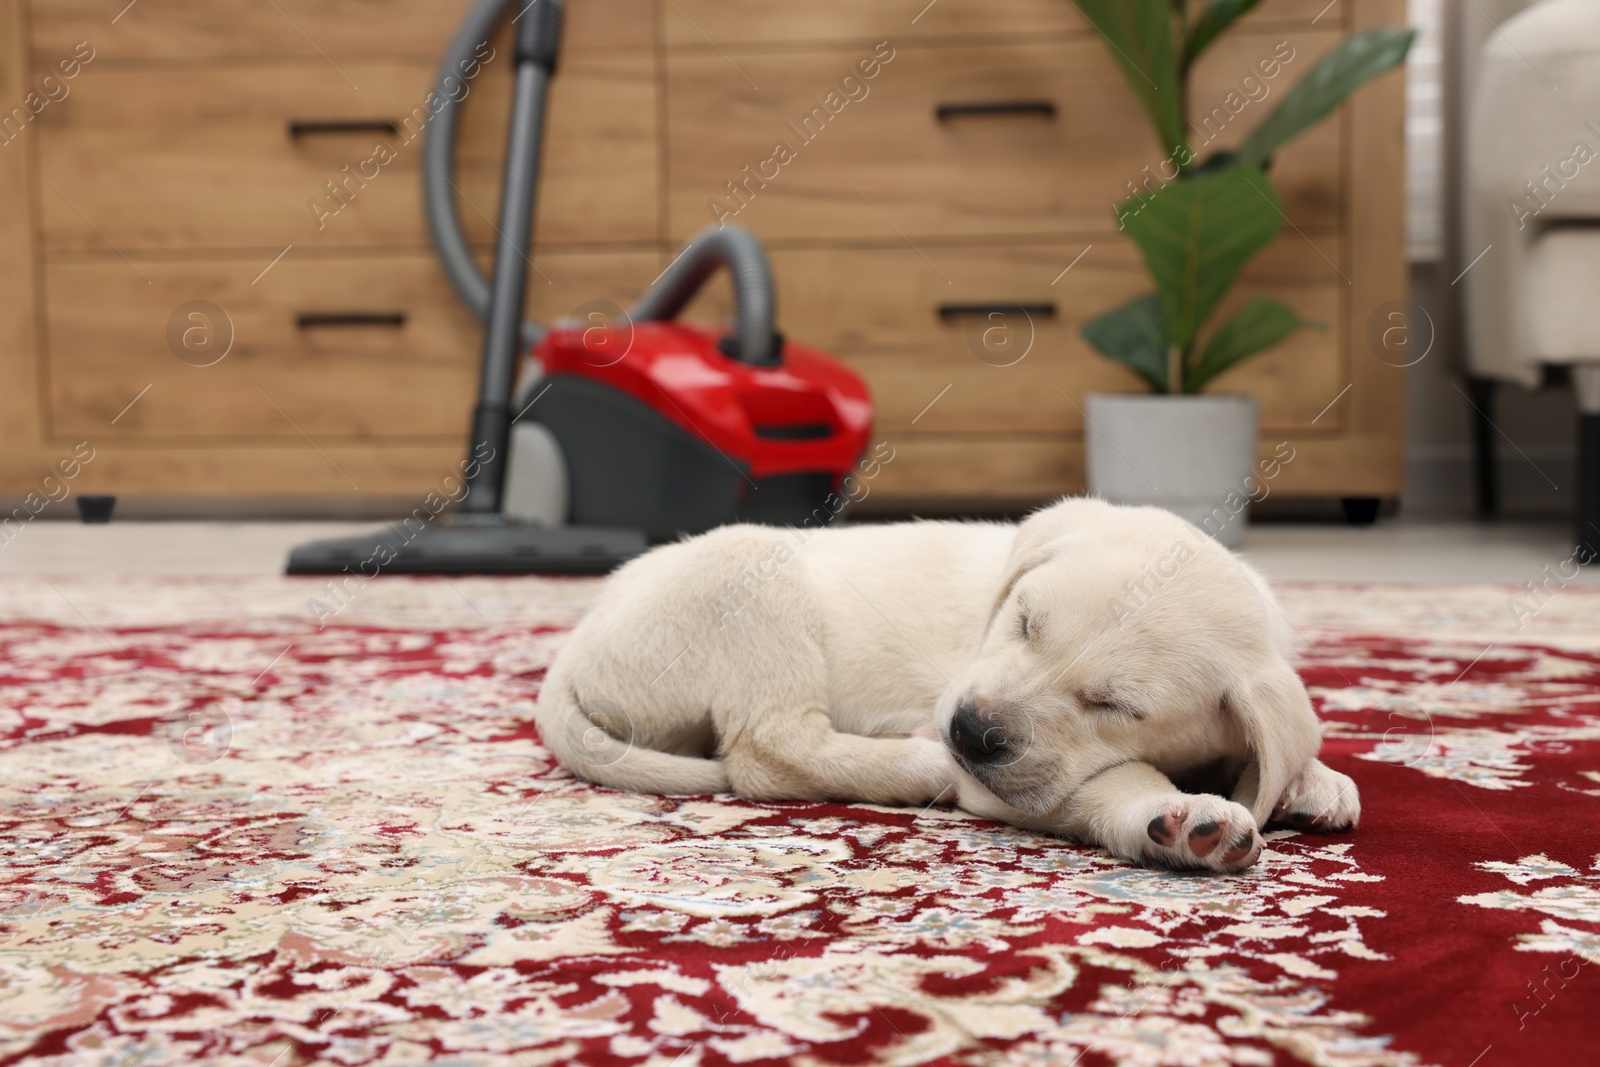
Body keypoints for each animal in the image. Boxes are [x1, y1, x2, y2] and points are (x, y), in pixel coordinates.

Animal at [534, 495, 1350, 870]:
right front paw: (1180, 817)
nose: (970, 732)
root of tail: (577, 645)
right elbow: (1113, 783)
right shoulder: (1004, 787)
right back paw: (916, 760)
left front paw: (1314, 781)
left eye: (1112, 705)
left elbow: (1285, 745)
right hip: (752, 578)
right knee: (768, 752)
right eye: (1024, 621)